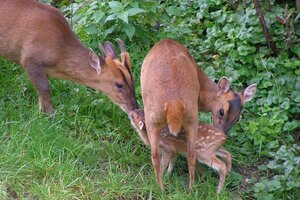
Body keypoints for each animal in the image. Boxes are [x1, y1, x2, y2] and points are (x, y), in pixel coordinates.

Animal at [0, 0, 138, 114]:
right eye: (119, 84)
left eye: (133, 80)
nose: (134, 107)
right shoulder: (30, 60)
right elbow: (45, 90)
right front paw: (51, 116)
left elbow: (40, 94)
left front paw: (41, 113)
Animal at [140, 38, 255, 190]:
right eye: (221, 111)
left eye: (237, 119)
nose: (223, 134)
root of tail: (173, 103)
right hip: (181, 116)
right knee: (176, 154)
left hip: (160, 115)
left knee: (173, 154)